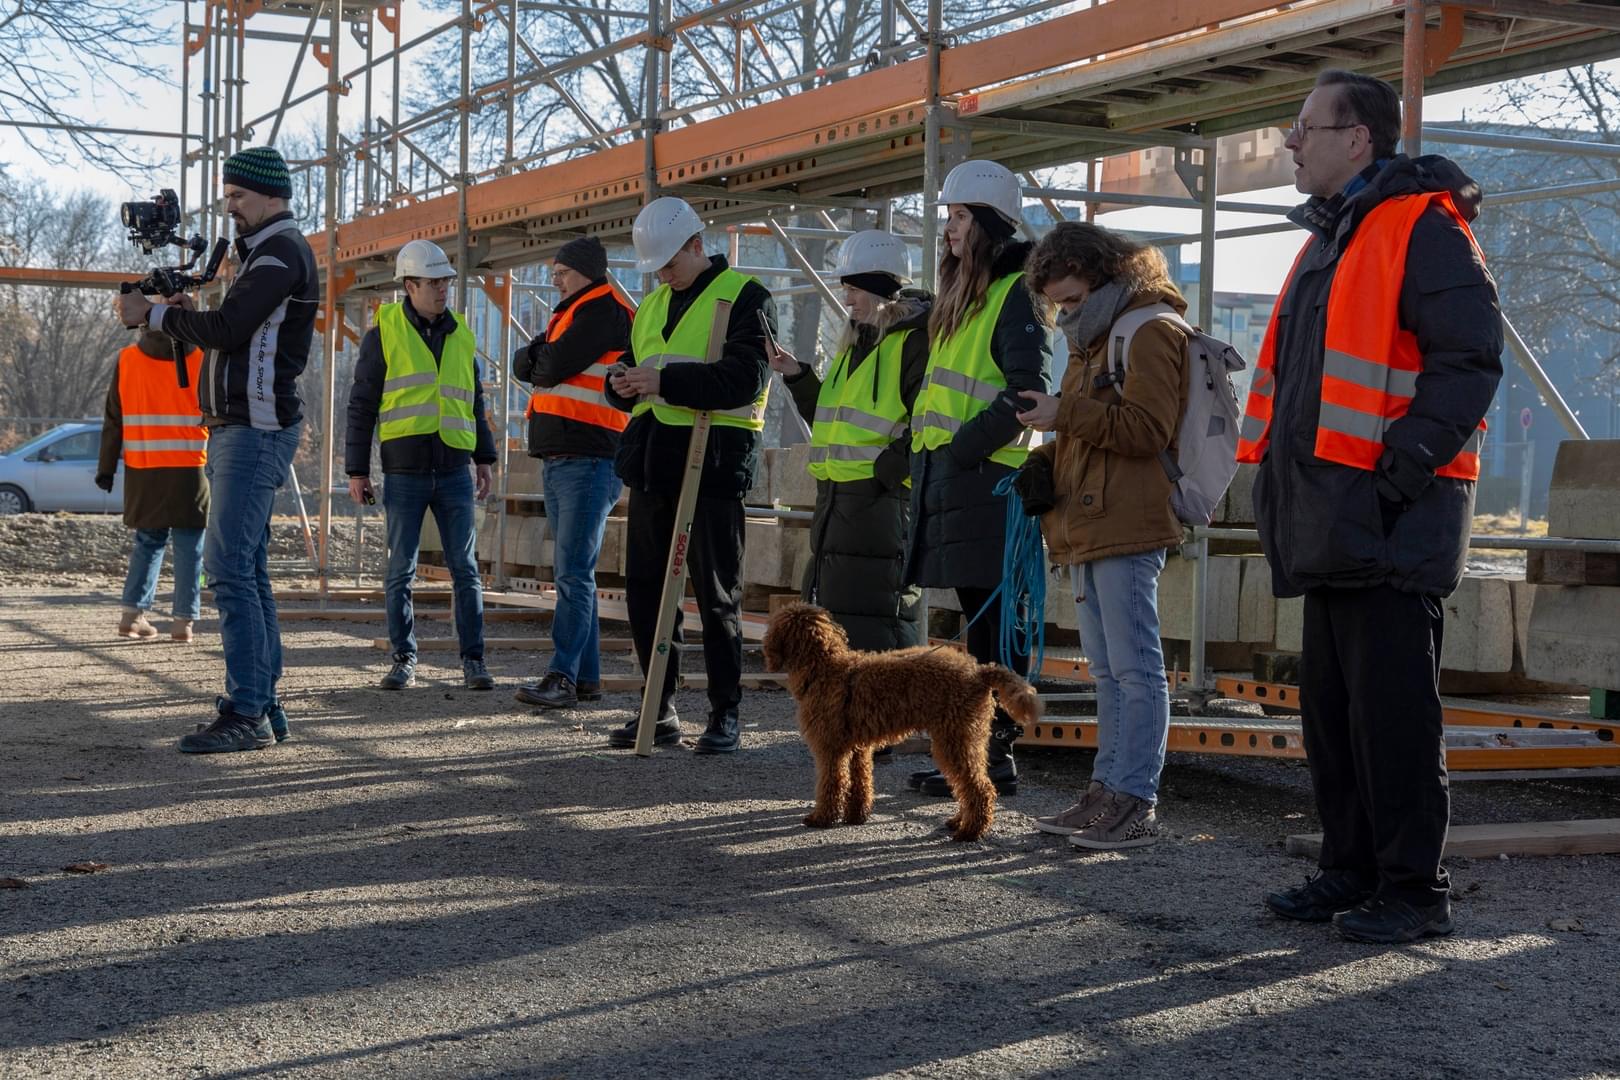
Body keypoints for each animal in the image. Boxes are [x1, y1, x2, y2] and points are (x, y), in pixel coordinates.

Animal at [764, 599, 1043, 841]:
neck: (825, 668)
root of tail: (978, 672)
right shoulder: (857, 748)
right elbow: (860, 782)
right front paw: (856, 816)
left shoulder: (830, 749)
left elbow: (831, 784)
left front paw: (821, 818)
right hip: (968, 737)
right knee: (972, 784)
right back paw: (959, 821)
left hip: (954, 738)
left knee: (980, 787)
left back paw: (970, 832)